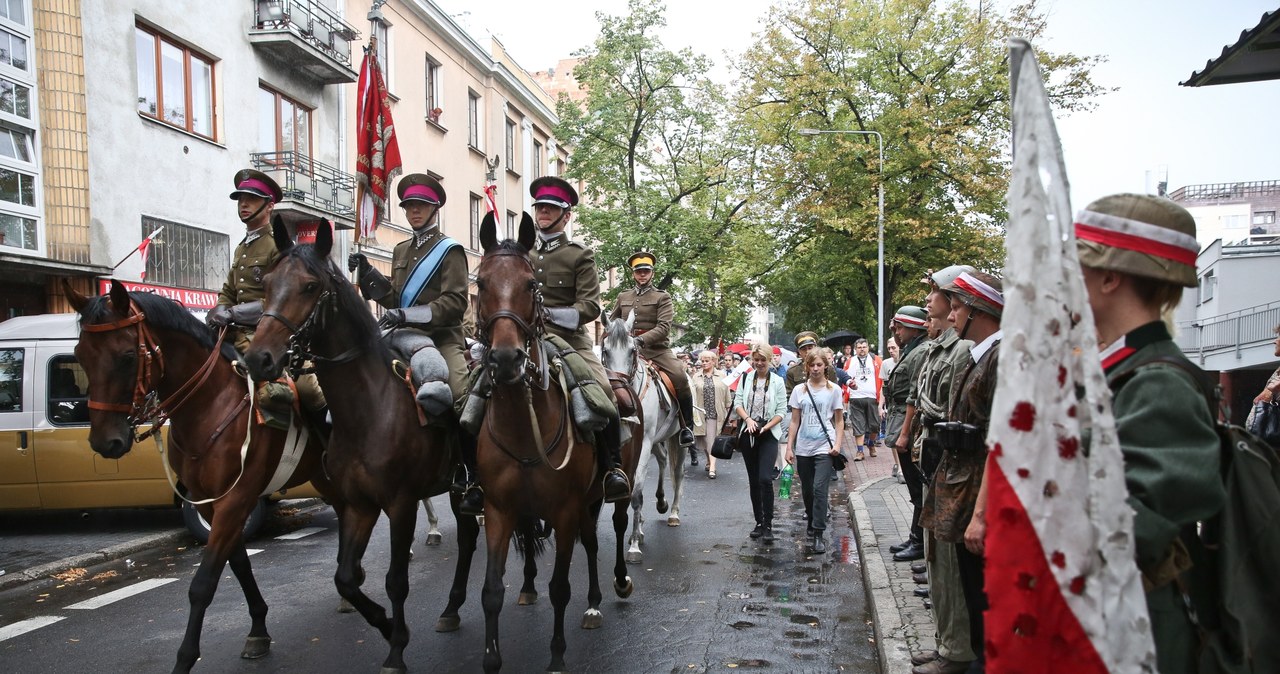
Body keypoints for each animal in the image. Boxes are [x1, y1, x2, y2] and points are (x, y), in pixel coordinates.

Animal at [66, 280, 335, 674]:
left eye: (127, 356)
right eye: (80, 355)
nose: (105, 441)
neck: (211, 406)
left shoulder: (235, 499)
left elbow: (203, 583)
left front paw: (185, 657)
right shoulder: (209, 501)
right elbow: (238, 564)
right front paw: (258, 630)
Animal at [241, 221, 478, 674]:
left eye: (310, 286)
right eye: (267, 282)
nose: (259, 359)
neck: (369, 409)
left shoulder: (400, 503)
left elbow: (396, 581)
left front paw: (397, 649)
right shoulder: (358, 504)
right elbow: (346, 578)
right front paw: (384, 625)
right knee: (471, 537)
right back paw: (453, 609)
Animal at [476, 213, 640, 670]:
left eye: (531, 284)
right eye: (480, 282)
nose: (506, 359)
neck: (523, 427)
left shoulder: (565, 511)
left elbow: (560, 587)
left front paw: (556, 657)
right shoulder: (499, 511)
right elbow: (491, 590)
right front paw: (492, 659)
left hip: (610, 490)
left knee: (612, 528)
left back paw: (614, 587)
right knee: (590, 540)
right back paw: (594, 602)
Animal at [601, 313, 691, 562]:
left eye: (633, 350)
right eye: (604, 350)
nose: (617, 387)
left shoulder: (644, 443)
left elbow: (637, 490)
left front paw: (633, 544)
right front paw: (637, 530)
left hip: (676, 440)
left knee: (677, 472)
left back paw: (673, 513)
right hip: (657, 441)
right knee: (662, 460)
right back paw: (659, 502)